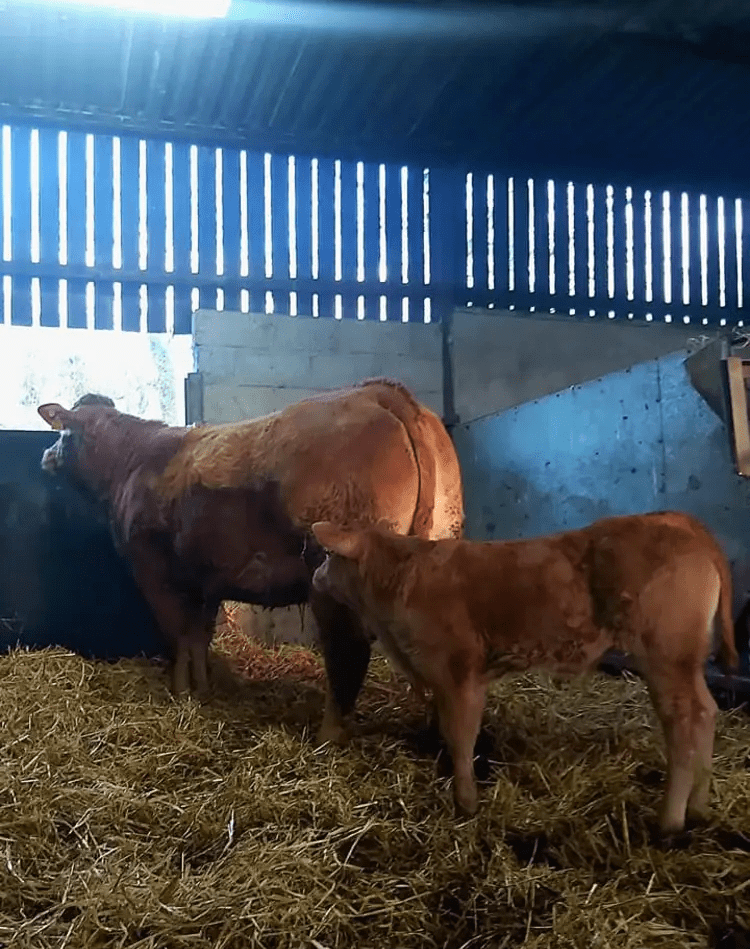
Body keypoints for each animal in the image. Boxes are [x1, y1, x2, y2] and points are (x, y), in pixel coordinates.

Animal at [37, 380, 464, 744]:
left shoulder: (154, 571)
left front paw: (180, 692)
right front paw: (202, 689)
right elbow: (198, 636)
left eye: (62, 432)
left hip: (333, 574)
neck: (131, 462)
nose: (46, 456)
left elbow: (177, 634)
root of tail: (378, 392)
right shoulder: (204, 580)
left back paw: (328, 737)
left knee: (347, 651)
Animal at [310, 511, 739, 834]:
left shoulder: (459, 674)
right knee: (706, 711)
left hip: (666, 653)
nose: (315, 576)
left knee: (684, 720)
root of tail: (675, 520)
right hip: (683, 660)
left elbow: (460, 737)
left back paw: (670, 821)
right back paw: (698, 808)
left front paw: (466, 804)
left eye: (327, 555)